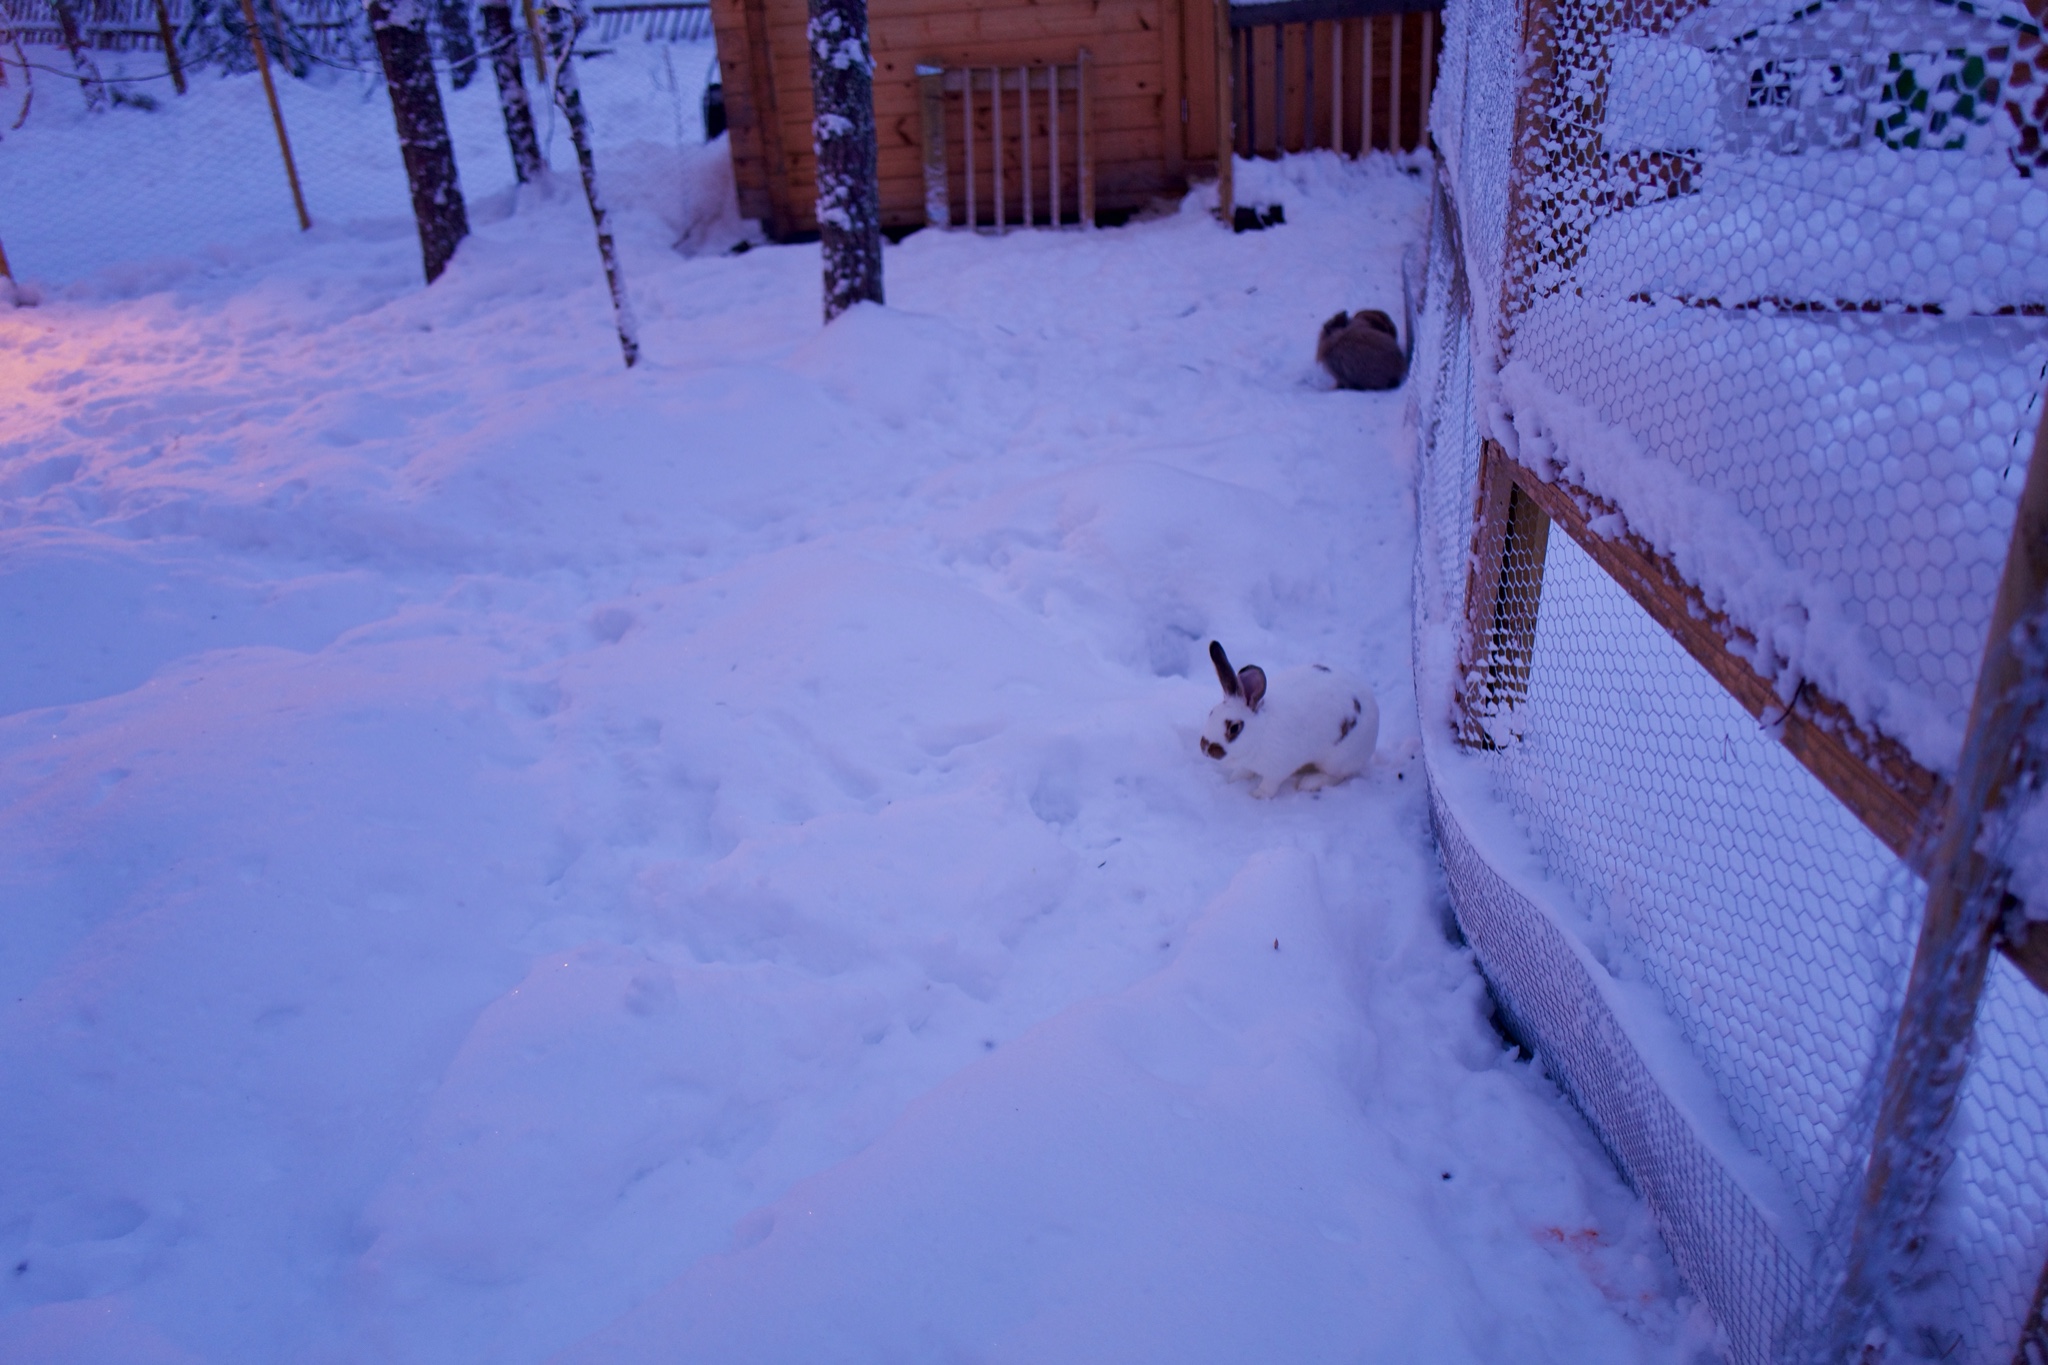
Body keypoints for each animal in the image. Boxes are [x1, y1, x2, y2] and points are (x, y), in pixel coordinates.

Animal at [1196, 642, 1376, 802]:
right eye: (1211, 713)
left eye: (1234, 728)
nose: (1205, 748)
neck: (1260, 733)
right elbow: (1244, 771)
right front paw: (1235, 779)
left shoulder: (1277, 769)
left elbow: (1269, 785)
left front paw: (1257, 795)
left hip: (1337, 760)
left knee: (1339, 776)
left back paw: (1310, 783)